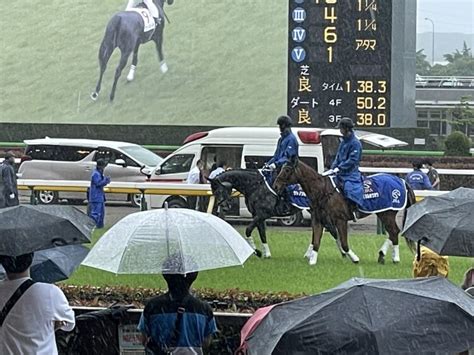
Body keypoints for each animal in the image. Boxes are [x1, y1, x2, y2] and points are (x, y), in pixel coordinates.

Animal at [209, 170, 338, 258]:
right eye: (214, 192)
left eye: (220, 190)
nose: (225, 206)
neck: (255, 186)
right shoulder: (258, 216)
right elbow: (262, 234)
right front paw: (266, 253)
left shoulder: (262, 215)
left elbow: (248, 230)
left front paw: (256, 251)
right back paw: (310, 254)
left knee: (330, 229)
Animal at [272, 163, 416, 266]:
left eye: (287, 170)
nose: (276, 186)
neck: (323, 191)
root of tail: (401, 180)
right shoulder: (318, 220)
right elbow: (316, 240)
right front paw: (312, 260)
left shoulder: (340, 220)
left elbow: (344, 242)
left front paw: (353, 257)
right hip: (382, 213)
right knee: (393, 232)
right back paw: (382, 255)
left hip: (388, 213)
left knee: (394, 231)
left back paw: (395, 258)